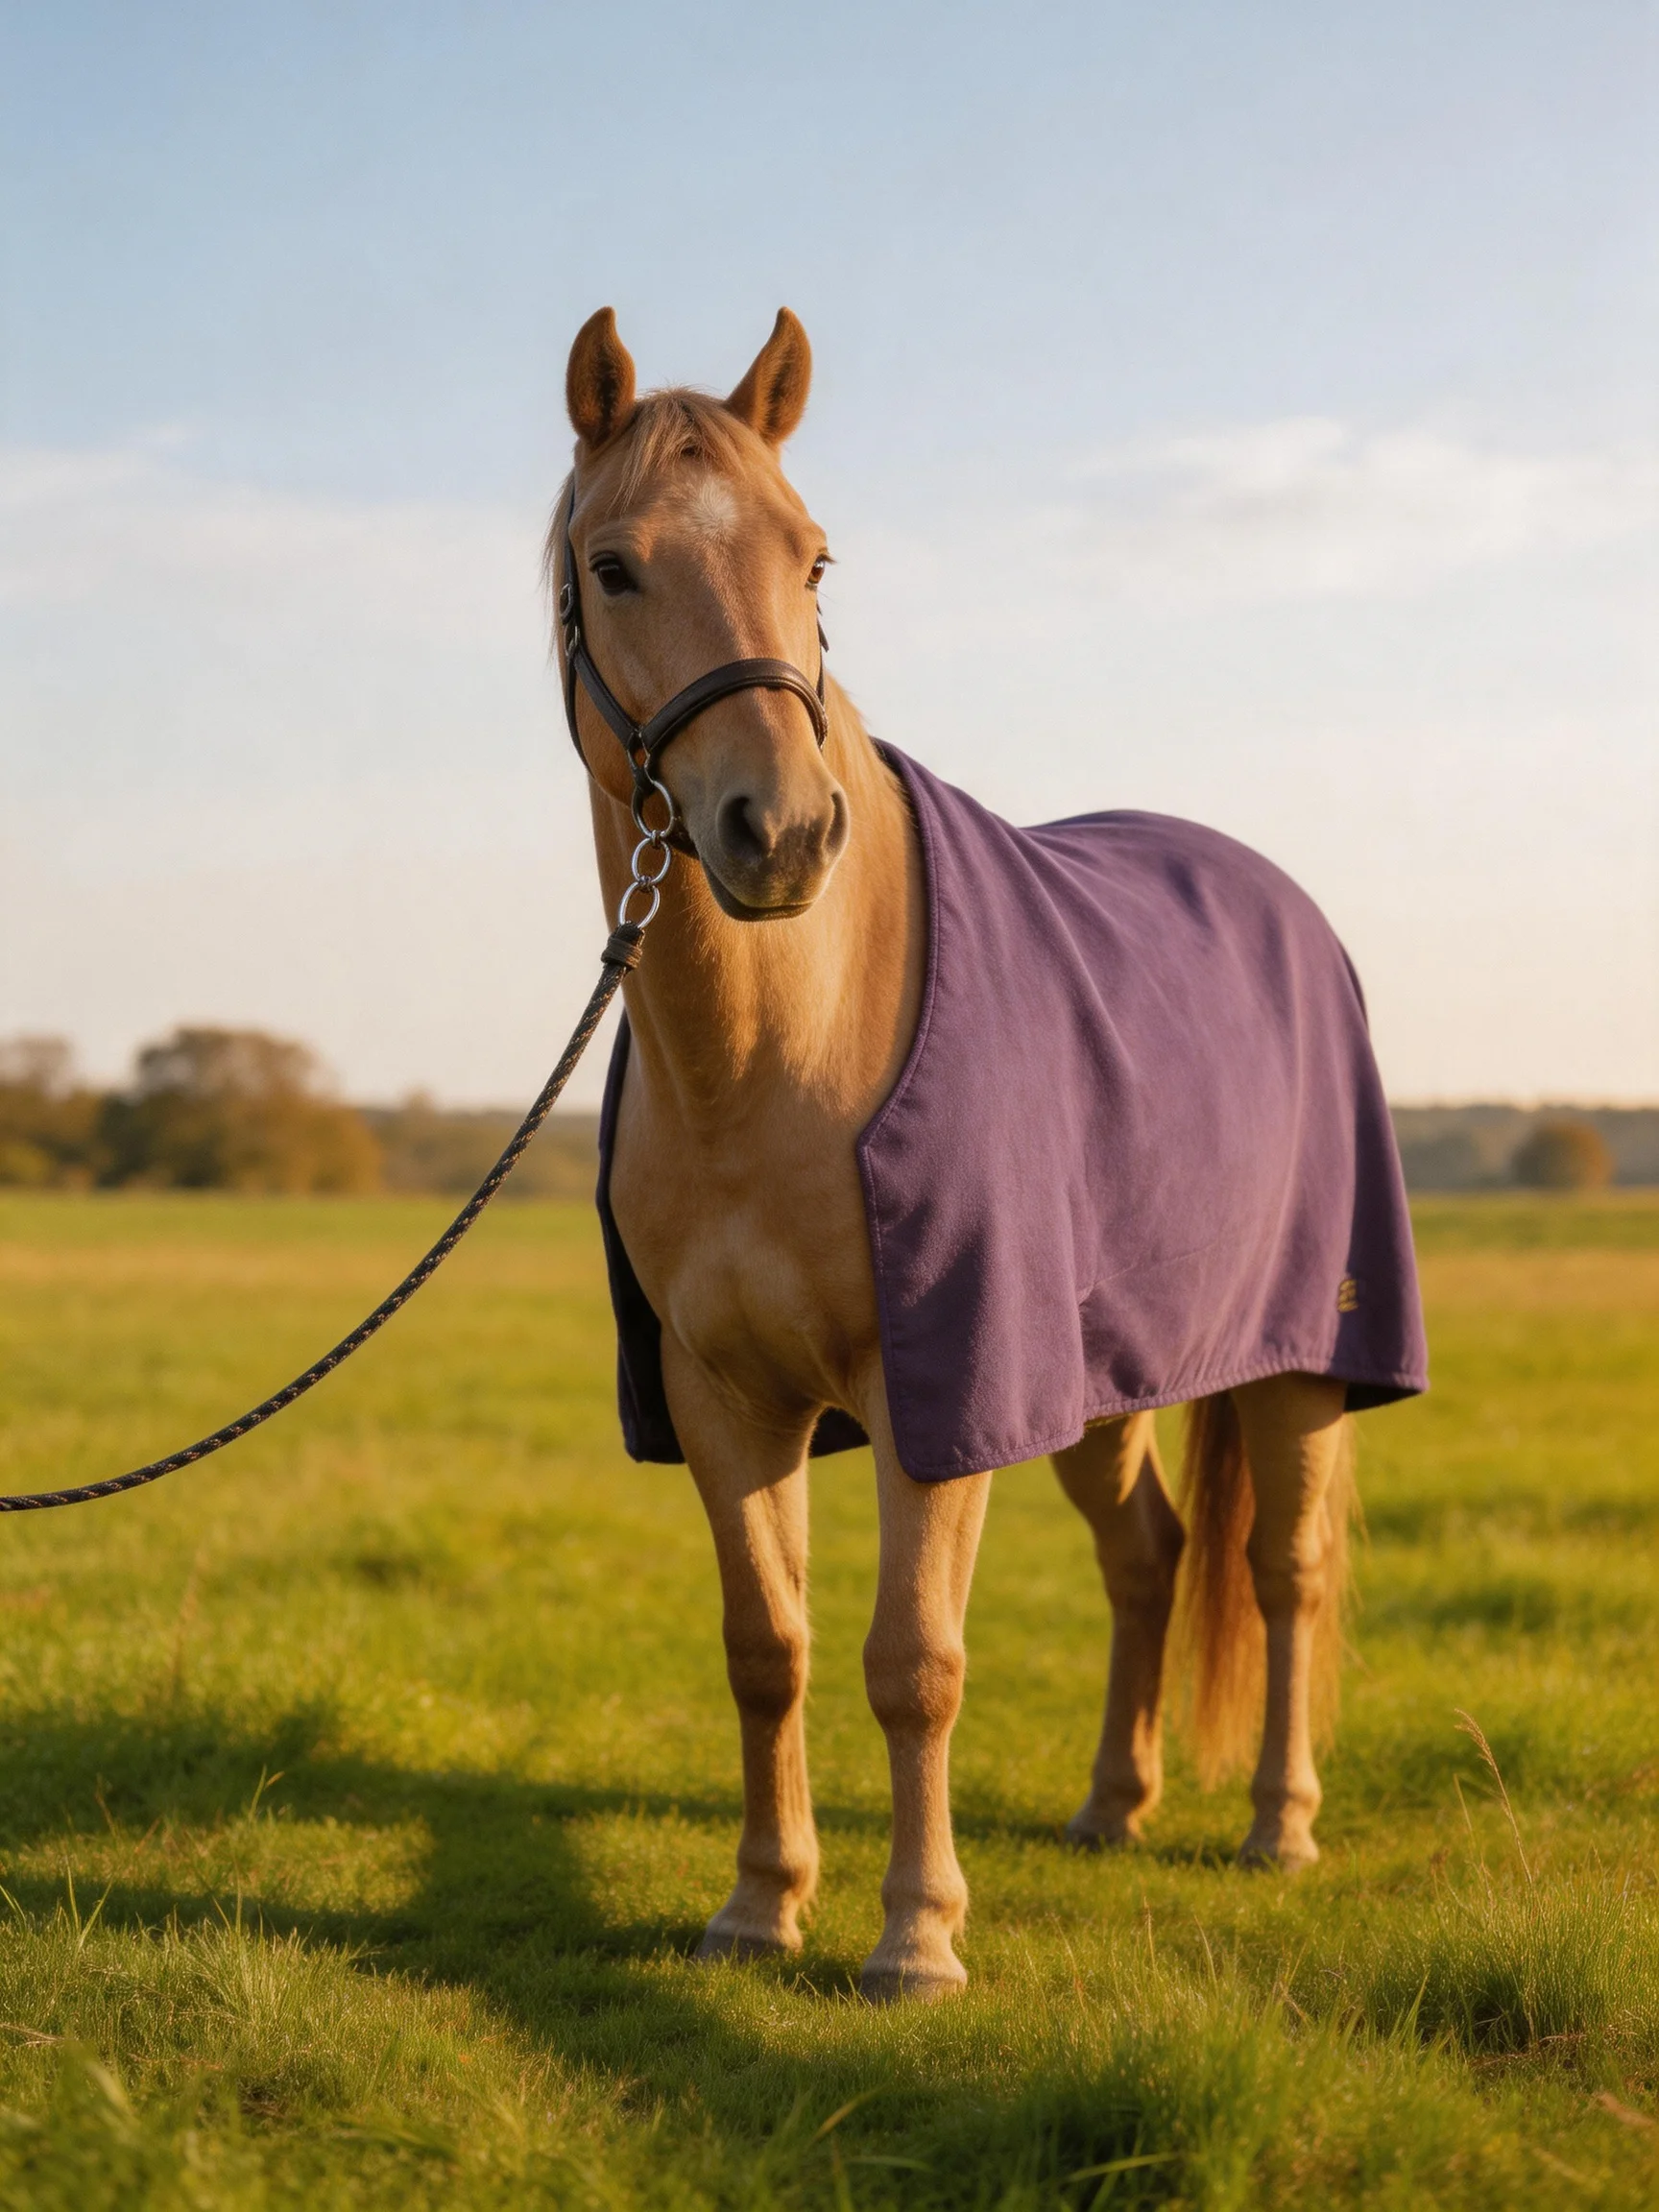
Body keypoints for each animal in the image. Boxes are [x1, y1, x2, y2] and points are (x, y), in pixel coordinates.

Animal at [550, 306, 1425, 2002]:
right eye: (614, 565)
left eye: (814, 557)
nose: (781, 836)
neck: (784, 1051)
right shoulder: (726, 1399)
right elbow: (769, 1650)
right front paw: (759, 1909)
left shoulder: (935, 1388)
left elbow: (916, 1662)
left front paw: (916, 1938)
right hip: (1101, 1385)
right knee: (1148, 1557)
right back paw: (1112, 1808)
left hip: (1301, 1366)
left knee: (1280, 1573)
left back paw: (1276, 1827)